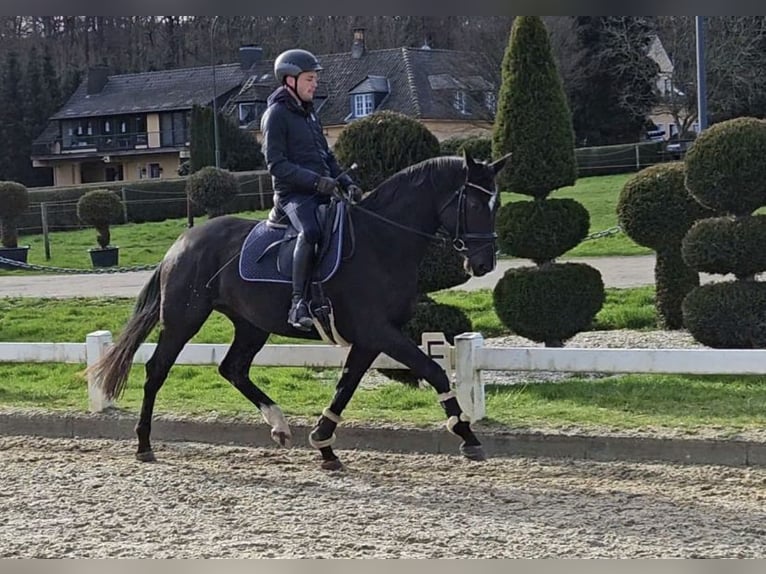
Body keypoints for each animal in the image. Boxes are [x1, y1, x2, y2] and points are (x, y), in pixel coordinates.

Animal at [90, 151, 510, 470]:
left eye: (497, 204)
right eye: (474, 203)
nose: (484, 263)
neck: (381, 241)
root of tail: (182, 241)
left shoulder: (370, 338)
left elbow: (345, 386)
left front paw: (324, 443)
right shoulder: (378, 331)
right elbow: (433, 370)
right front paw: (467, 434)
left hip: (251, 325)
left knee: (233, 369)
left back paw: (278, 425)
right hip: (184, 320)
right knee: (157, 370)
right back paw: (144, 444)